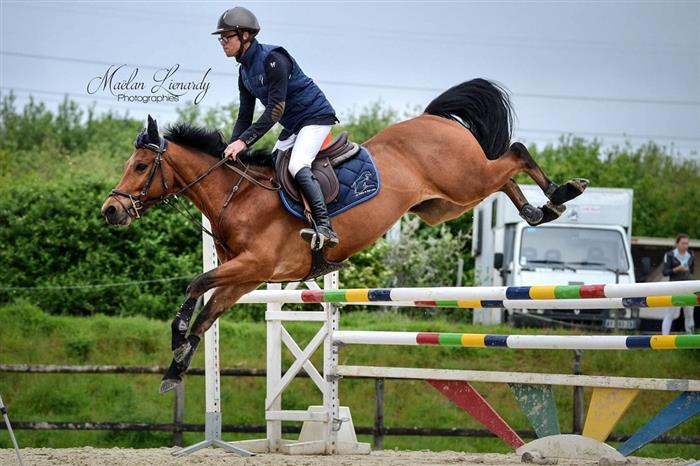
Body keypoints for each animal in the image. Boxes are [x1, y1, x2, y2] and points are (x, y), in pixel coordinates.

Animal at [101, 78, 588, 393]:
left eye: (140, 167)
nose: (110, 210)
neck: (238, 197)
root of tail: (435, 119)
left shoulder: (253, 265)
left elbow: (195, 285)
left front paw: (177, 335)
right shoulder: (245, 277)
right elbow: (207, 314)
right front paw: (174, 369)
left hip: (464, 181)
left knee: (515, 155)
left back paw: (563, 191)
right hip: (446, 204)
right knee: (505, 177)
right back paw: (539, 209)